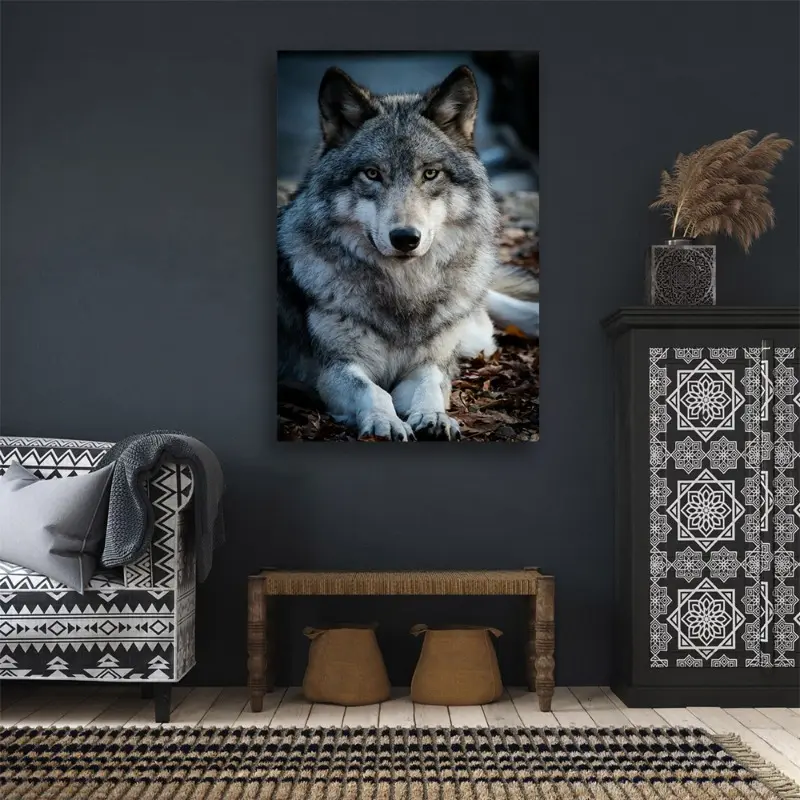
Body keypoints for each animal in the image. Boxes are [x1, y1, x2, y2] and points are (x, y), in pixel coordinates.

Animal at [278, 64, 539, 441]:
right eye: (372, 174)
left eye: (430, 174)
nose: (405, 238)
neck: (406, 293)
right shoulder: (334, 369)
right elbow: (372, 390)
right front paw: (385, 421)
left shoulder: (430, 364)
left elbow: (429, 385)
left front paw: (434, 417)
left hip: (470, 327)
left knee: (483, 300)